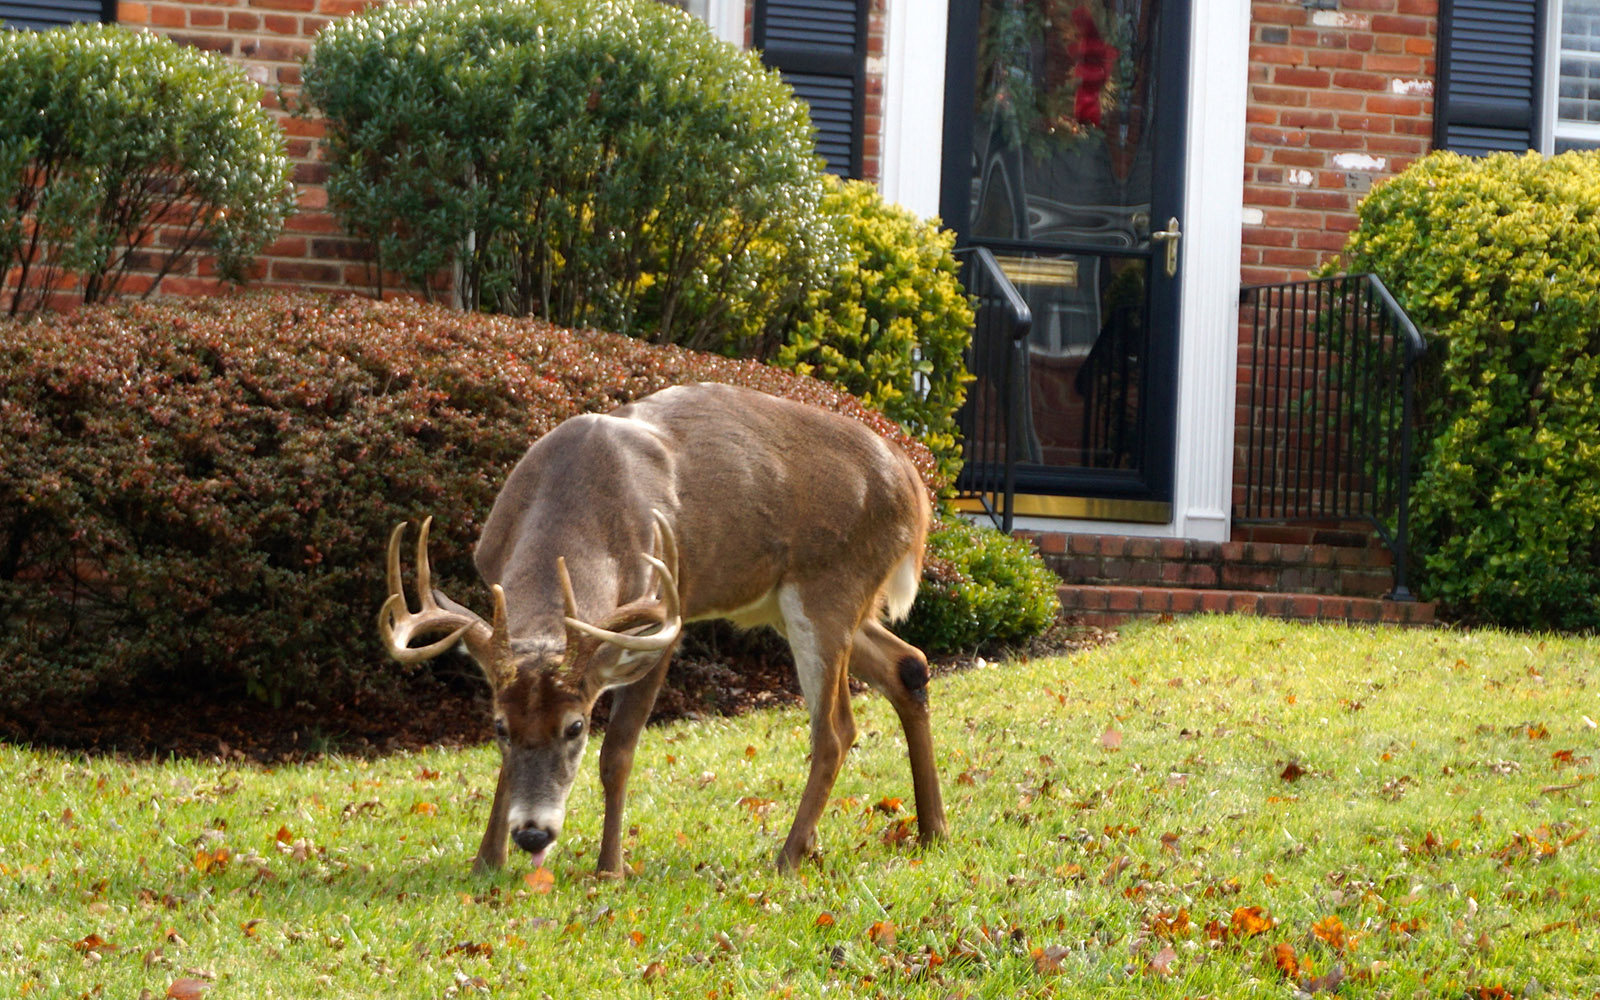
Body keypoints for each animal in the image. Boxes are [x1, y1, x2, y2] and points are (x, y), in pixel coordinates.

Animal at [378, 382, 948, 875]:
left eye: (576, 726)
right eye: (499, 727)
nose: (534, 834)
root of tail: (914, 487)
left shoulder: (663, 623)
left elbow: (618, 753)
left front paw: (610, 869)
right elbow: (504, 766)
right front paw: (485, 863)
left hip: (828, 587)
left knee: (834, 730)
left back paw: (788, 856)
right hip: (796, 605)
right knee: (908, 663)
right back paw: (930, 831)